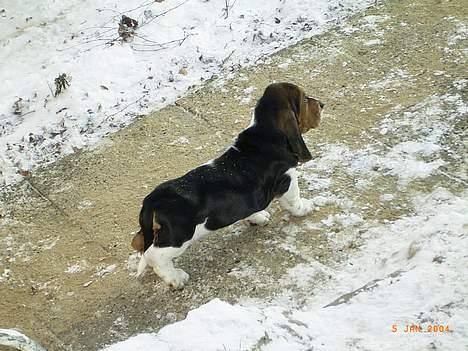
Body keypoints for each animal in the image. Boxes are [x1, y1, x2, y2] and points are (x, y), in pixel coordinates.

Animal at [132, 82, 322, 288]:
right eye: (305, 99)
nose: (322, 104)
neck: (264, 131)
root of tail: (153, 200)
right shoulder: (287, 179)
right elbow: (294, 201)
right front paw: (306, 207)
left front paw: (258, 217)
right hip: (178, 237)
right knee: (153, 256)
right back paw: (176, 277)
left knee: (139, 243)